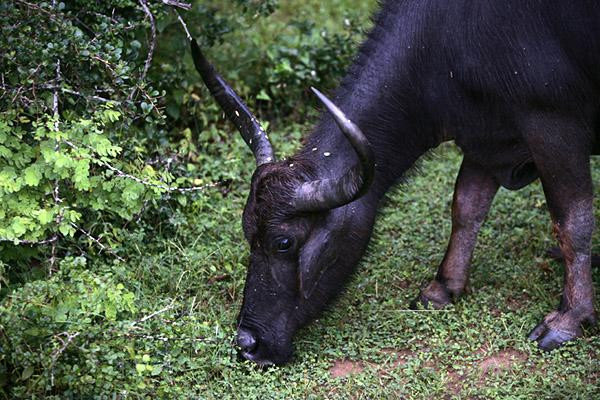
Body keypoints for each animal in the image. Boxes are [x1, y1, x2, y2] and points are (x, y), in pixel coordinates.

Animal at [191, 0, 596, 366]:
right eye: (248, 233)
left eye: (283, 242)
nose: (248, 344)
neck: (448, 35)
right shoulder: (485, 136)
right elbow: (466, 207)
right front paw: (442, 288)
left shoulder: (553, 127)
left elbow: (572, 222)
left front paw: (568, 320)